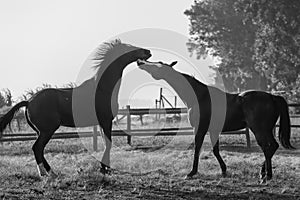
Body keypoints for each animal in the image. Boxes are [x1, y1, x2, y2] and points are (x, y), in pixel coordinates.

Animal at [0, 39, 151, 178]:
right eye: (128, 47)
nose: (148, 51)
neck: (103, 89)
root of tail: (29, 101)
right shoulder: (106, 121)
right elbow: (108, 144)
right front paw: (104, 169)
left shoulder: (101, 123)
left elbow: (105, 143)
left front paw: (104, 168)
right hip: (47, 130)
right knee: (37, 148)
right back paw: (45, 173)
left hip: (40, 131)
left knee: (39, 149)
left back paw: (51, 172)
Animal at [137, 58, 294, 184]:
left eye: (158, 65)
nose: (140, 62)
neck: (199, 96)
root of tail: (272, 97)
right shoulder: (213, 130)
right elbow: (215, 150)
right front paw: (224, 170)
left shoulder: (199, 129)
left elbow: (197, 149)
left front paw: (191, 173)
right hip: (266, 130)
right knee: (272, 147)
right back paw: (263, 173)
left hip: (259, 130)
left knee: (268, 148)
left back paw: (266, 176)